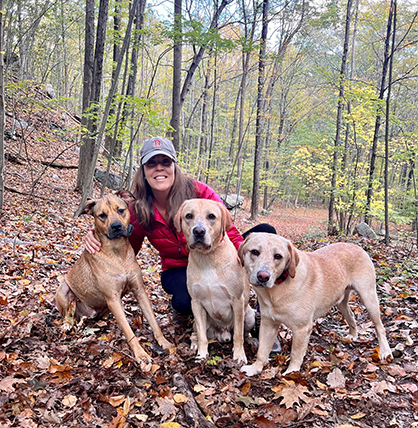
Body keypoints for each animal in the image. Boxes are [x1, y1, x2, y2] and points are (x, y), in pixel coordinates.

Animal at [54, 194, 172, 372]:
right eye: (102, 215)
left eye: (121, 210)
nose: (116, 226)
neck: (118, 253)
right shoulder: (113, 298)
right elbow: (128, 331)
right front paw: (141, 355)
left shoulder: (139, 290)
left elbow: (153, 321)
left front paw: (164, 342)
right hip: (63, 289)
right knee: (66, 314)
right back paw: (67, 324)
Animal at [173, 199, 255, 362]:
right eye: (189, 215)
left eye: (211, 216)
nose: (198, 231)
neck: (208, 258)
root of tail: (223, 333)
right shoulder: (196, 303)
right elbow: (202, 337)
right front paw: (202, 354)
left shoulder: (237, 301)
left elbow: (238, 334)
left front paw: (239, 355)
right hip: (198, 320)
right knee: (196, 333)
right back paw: (194, 344)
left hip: (250, 316)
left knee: (243, 332)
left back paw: (250, 339)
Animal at [238, 232, 392, 376]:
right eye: (255, 252)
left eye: (278, 256)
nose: (263, 276)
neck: (277, 290)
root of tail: (356, 246)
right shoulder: (268, 324)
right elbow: (262, 351)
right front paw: (255, 368)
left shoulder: (301, 329)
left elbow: (296, 354)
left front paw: (292, 374)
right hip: (341, 302)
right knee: (351, 315)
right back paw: (353, 335)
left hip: (369, 298)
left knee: (380, 327)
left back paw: (385, 351)